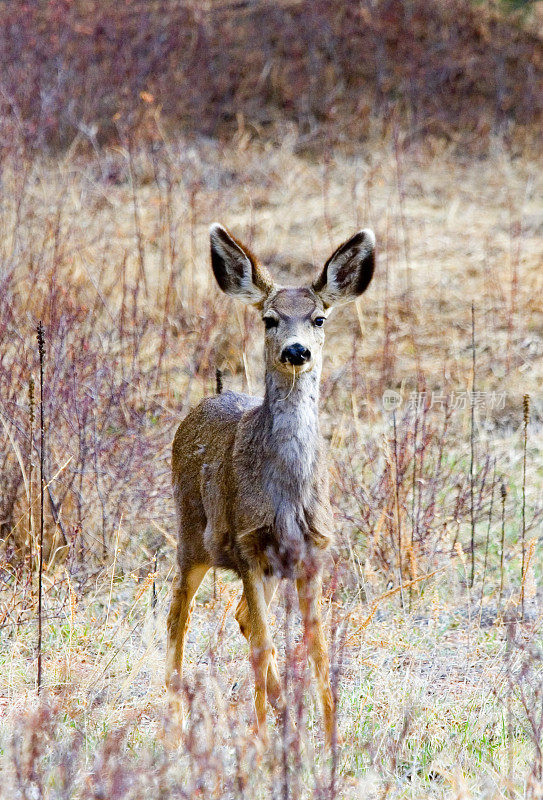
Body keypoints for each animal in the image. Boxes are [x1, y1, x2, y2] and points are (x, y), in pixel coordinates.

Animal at [166, 222, 376, 748]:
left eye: (319, 318)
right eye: (268, 319)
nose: (296, 351)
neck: (286, 495)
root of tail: (209, 399)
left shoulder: (313, 550)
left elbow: (316, 645)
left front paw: (330, 738)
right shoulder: (247, 547)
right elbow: (262, 646)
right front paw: (262, 744)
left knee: (241, 617)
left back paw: (284, 711)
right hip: (192, 535)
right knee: (178, 615)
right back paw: (177, 723)